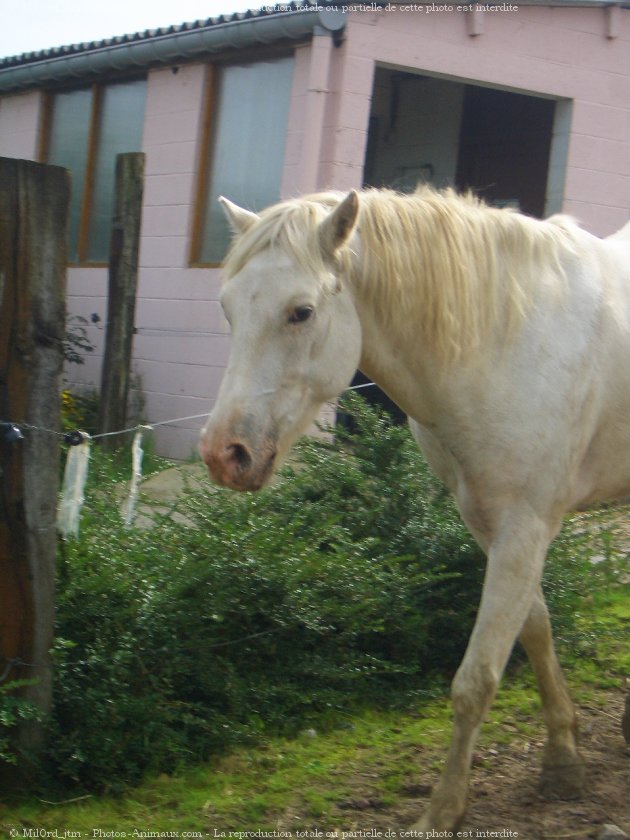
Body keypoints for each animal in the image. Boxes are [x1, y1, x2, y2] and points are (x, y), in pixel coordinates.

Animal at [199, 187, 630, 832]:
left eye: (301, 312)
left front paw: (443, 810)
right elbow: (535, 629)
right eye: (227, 309)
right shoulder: (488, 522)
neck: (506, 338)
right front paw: (562, 761)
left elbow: (476, 678)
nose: (225, 454)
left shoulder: (526, 527)